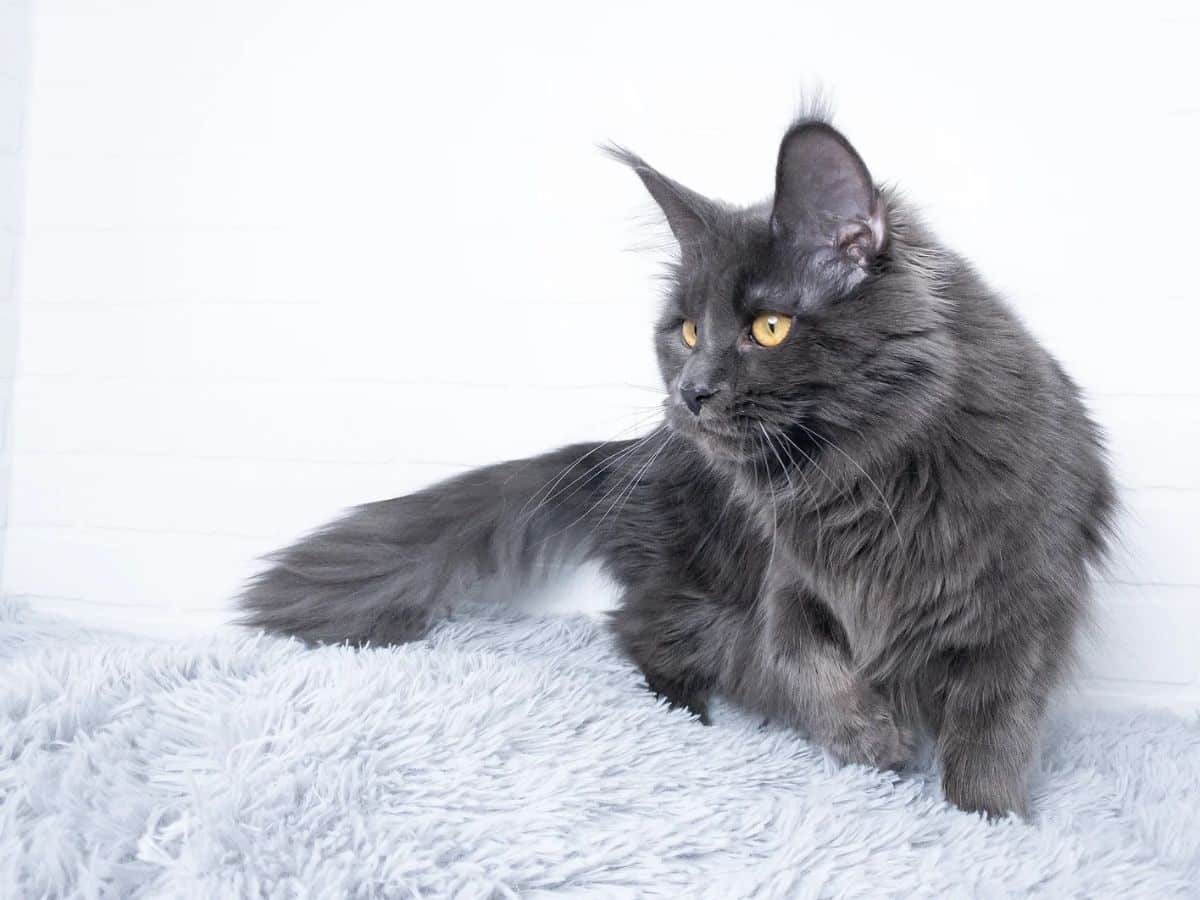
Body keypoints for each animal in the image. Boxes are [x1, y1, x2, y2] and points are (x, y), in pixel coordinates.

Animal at [236, 111, 1113, 816]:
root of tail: (638, 455)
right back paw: (687, 715)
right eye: (686, 331)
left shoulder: (1023, 611)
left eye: (767, 328)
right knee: (636, 630)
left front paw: (988, 822)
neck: (867, 478)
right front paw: (871, 738)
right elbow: (802, 662)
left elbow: (992, 737)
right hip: (690, 590)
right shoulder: (786, 584)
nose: (689, 393)